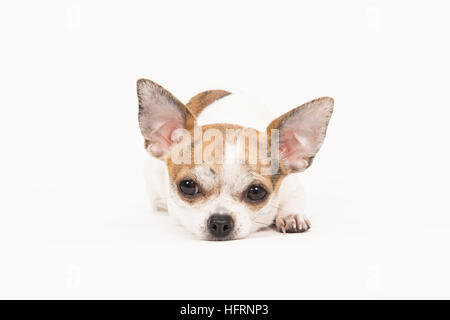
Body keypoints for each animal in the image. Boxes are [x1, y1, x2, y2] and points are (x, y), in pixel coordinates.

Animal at [135, 79, 332, 241]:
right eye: (188, 186)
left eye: (256, 191)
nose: (220, 221)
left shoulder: (293, 188)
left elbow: (294, 201)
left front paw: (291, 215)